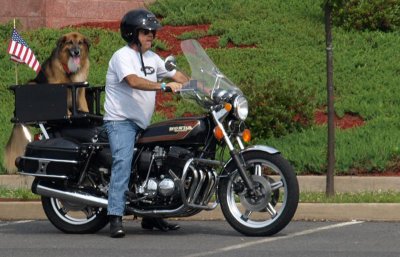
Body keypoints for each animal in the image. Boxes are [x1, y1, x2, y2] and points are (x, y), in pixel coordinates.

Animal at [3, 32, 90, 172]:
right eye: (70, 43)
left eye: (80, 43)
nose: (76, 52)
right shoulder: (59, 87)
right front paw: (68, 114)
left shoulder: (81, 88)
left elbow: (84, 104)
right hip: (32, 83)